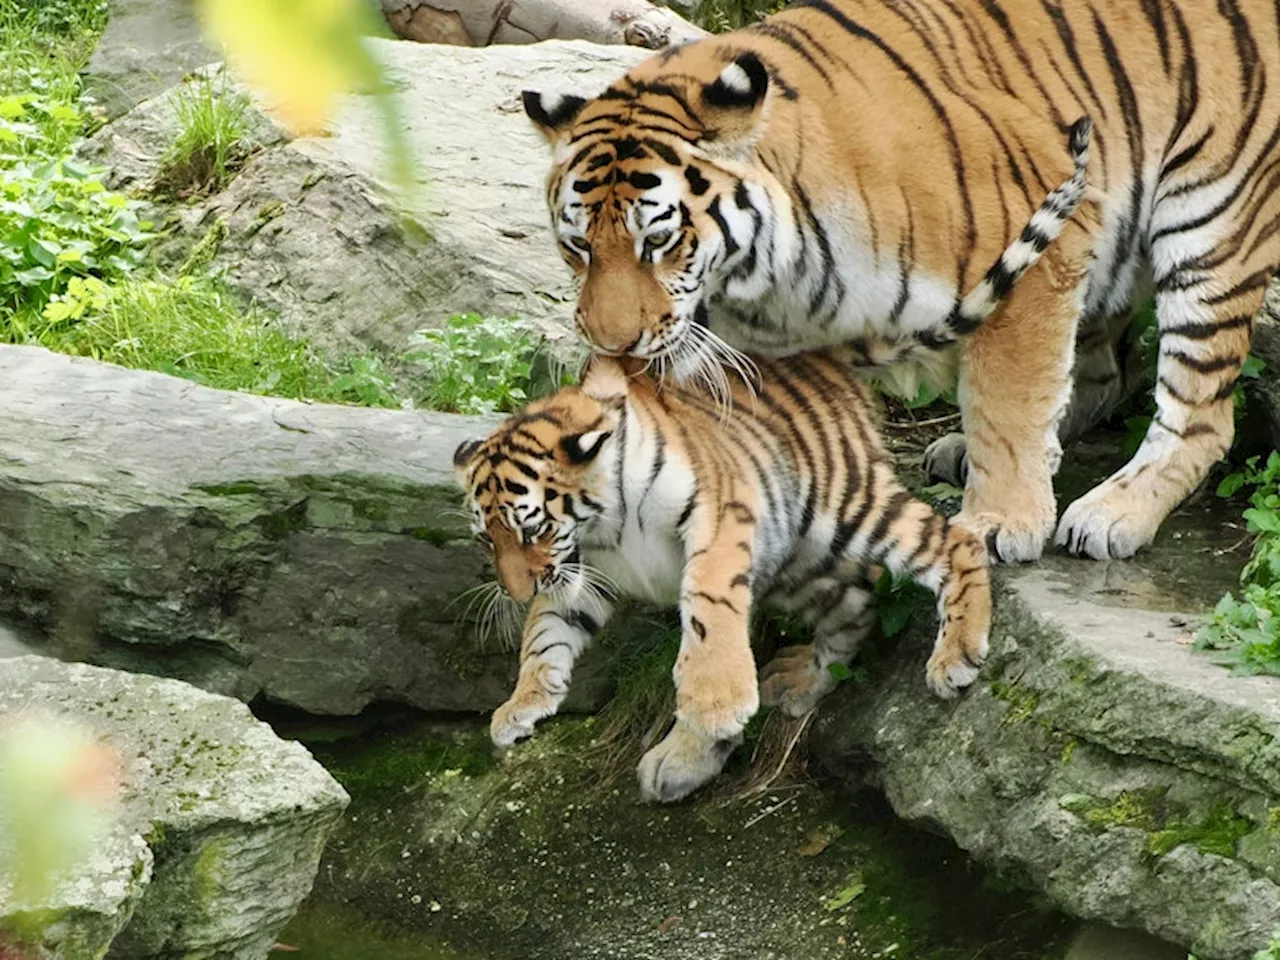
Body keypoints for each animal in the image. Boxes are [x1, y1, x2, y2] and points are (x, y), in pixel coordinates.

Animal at [519, 0, 1280, 568]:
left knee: (1200, 415)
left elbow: (1011, 398)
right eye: (577, 247)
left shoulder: (1042, 244)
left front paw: (998, 523)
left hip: (1211, 218)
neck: (767, 286)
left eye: (659, 242)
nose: (613, 346)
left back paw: (1111, 512)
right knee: (1103, 373)